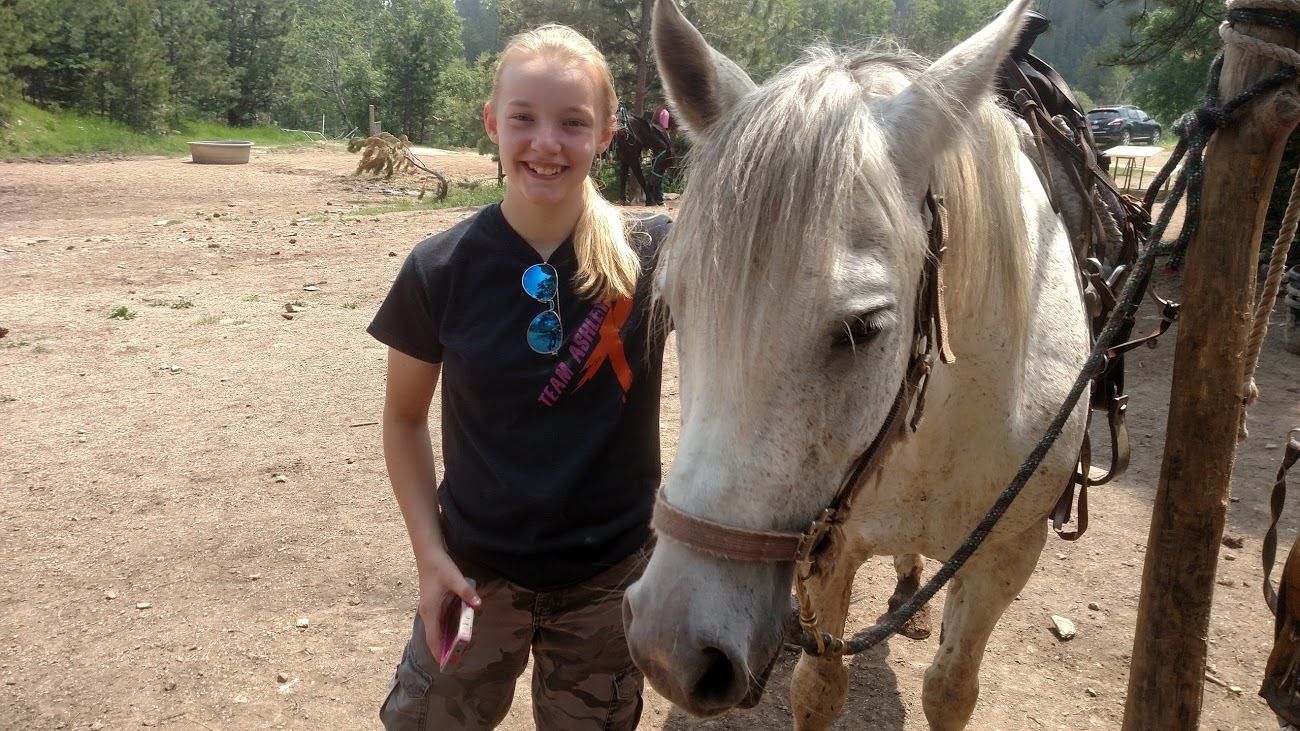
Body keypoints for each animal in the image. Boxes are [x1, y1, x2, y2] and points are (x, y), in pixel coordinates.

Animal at [622, 2, 1090, 729]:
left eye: (863, 328)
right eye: (676, 306)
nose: (668, 650)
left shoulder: (1009, 553)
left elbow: (951, 689)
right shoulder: (829, 548)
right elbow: (819, 690)